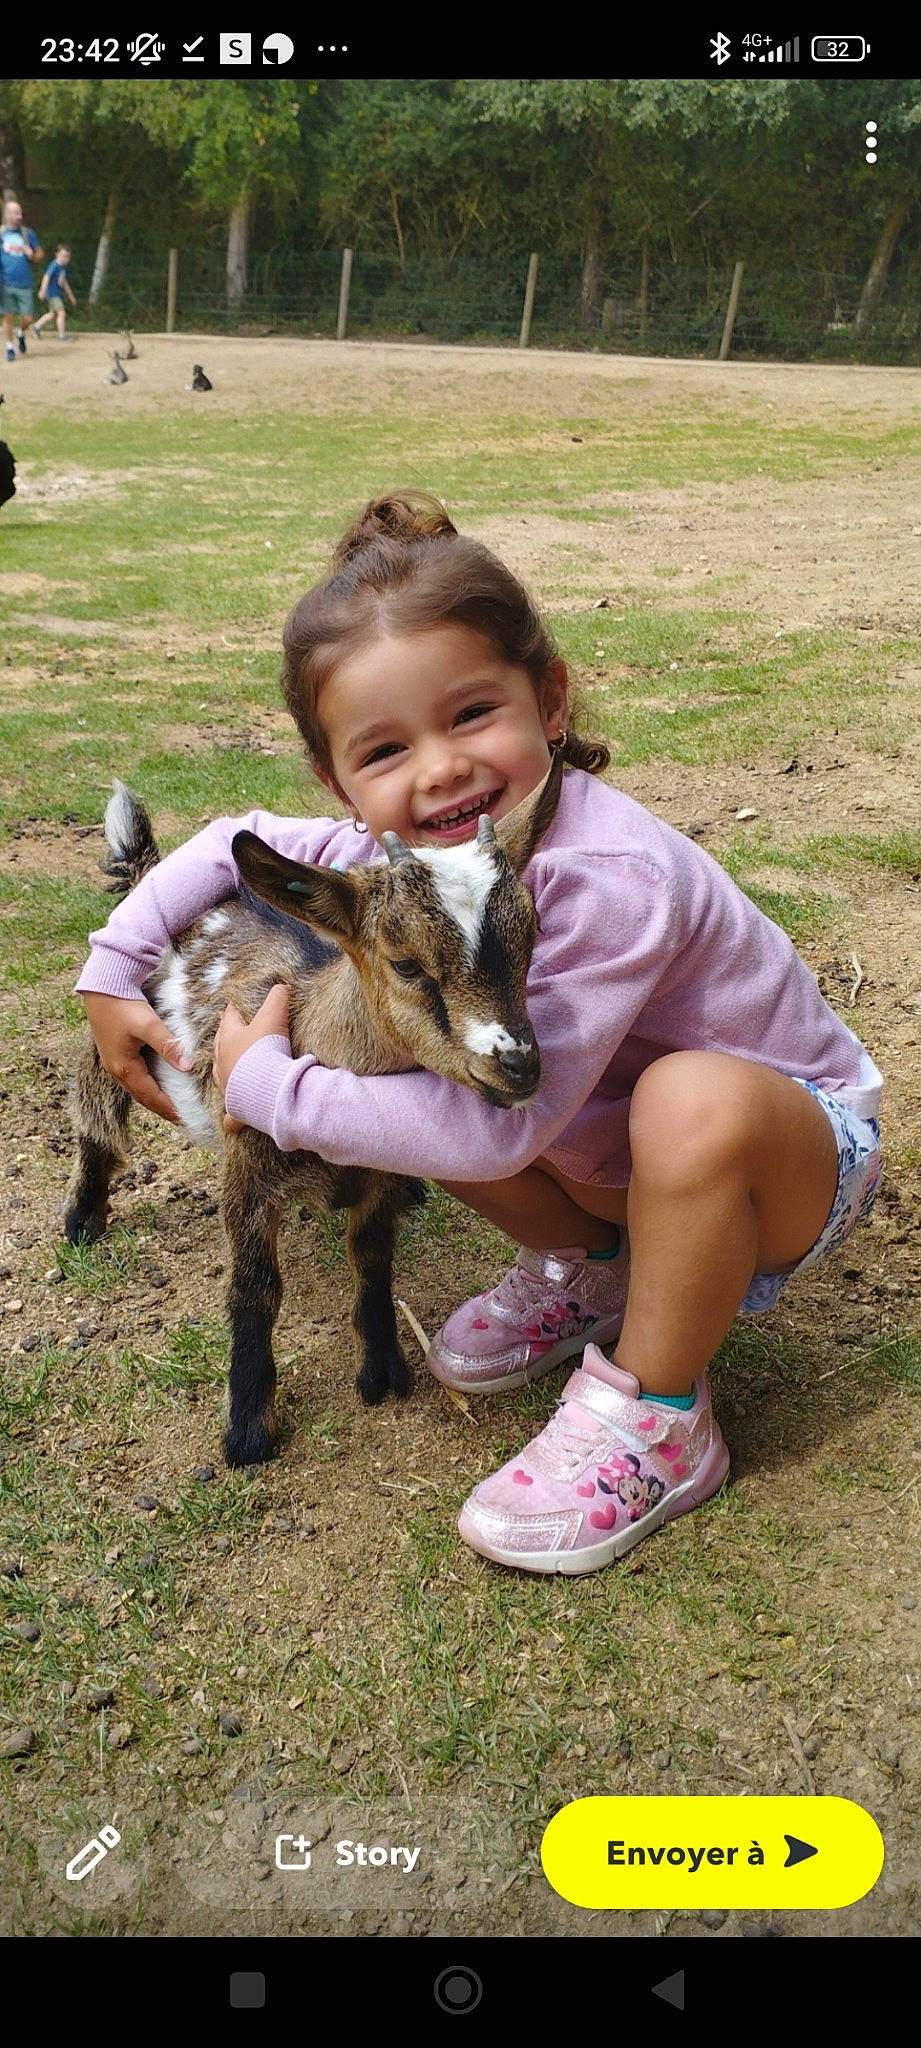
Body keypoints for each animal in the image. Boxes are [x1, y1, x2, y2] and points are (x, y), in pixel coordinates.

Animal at [64, 753, 563, 1468]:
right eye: (405, 963)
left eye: (533, 937)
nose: (519, 1064)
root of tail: (147, 872)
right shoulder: (248, 1176)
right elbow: (255, 1291)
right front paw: (248, 1428)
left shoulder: (376, 1180)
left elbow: (373, 1261)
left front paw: (383, 1370)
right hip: (112, 1040)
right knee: (95, 1116)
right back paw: (82, 1219)